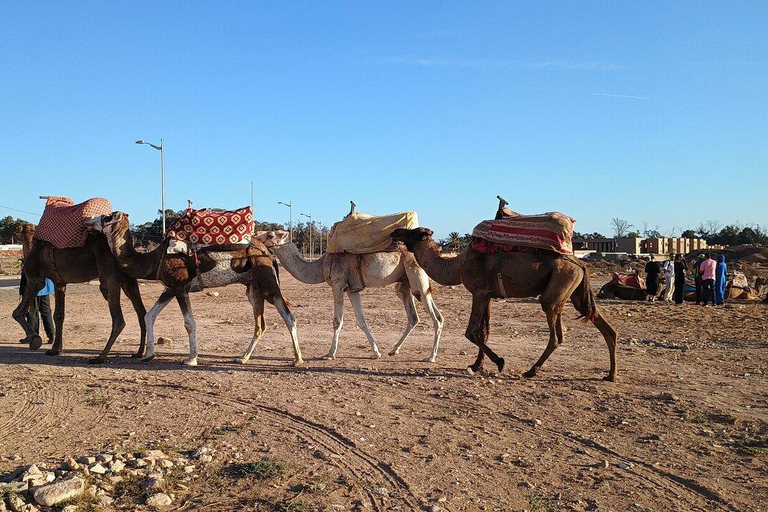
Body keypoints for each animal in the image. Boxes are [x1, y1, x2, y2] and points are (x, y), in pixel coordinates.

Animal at [12, 223, 148, 363]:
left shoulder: (35, 281)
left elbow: (17, 313)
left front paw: (35, 339)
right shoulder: (59, 282)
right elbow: (59, 315)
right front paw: (56, 349)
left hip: (110, 274)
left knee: (118, 318)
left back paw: (100, 357)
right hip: (127, 276)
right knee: (141, 312)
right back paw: (139, 352)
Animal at [86, 212, 302, 366]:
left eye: (106, 216)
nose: (89, 220)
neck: (154, 259)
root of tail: (268, 253)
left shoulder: (180, 287)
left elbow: (189, 322)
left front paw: (191, 359)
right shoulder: (170, 288)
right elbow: (150, 316)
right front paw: (148, 355)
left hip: (267, 282)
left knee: (288, 316)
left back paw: (297, 359)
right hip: (253, 288)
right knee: (260, 324)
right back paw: (242, 358)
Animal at [256, 230, 445, 362]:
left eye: (271, 234)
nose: (255, 235)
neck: (321, 265)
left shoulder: (338, 285)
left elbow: (337, 321)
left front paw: (329, 354)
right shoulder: (352, 290)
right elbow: (361, 321)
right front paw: (376, 352)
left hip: (417, 276)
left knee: (437, 317)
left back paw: (431, 357)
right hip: (405, 284)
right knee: (413, 316)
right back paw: (394, 349)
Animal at [391, 225, 618, 381]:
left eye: (412, 232)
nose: (395, 231)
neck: (457, 265)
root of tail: (581, 263)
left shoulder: (479, 292)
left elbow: (471, 332)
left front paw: (499, 362)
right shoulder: (487, 295)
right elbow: (484, 331)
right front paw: (476, 365)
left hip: (559, 285)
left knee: (555, 334)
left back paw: (531, 371)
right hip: (576, 291)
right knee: (603, 326)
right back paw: (610, 374)